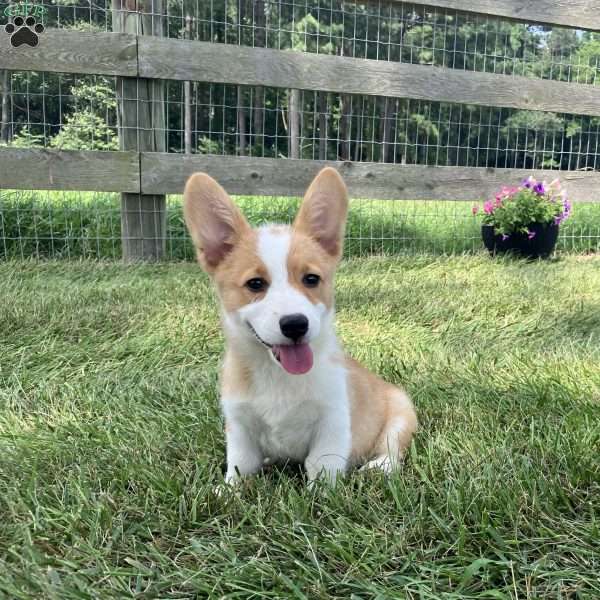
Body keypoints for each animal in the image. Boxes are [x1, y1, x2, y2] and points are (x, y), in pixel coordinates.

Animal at [183, 166, 418, 486]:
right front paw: (227, 491)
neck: (277, 375)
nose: (295, 325)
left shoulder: (332, 421)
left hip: (402, 414)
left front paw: (321, 494)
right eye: (255, 284)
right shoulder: (239, 424)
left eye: (311, 279)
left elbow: (321, 467)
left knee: (394, 450)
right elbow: (240, 466)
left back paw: (378, 467)